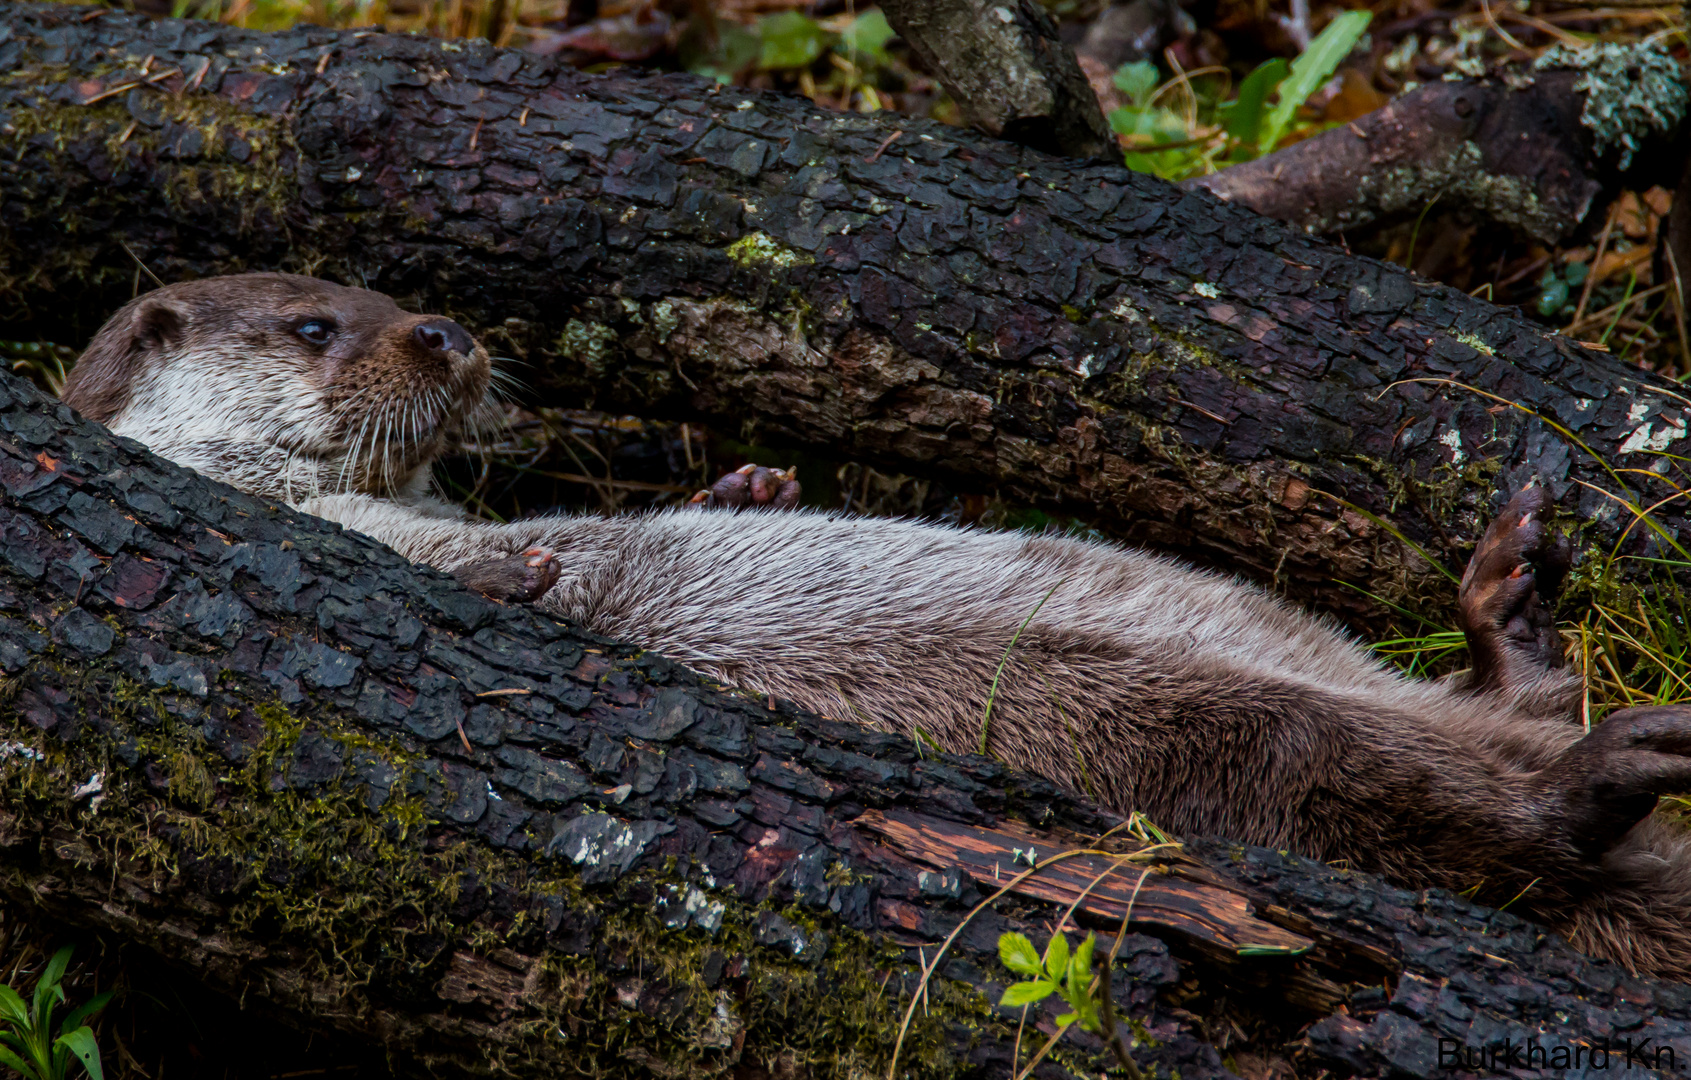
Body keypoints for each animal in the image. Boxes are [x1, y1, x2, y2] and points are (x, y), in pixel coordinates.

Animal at [62, 277, 1691, 980]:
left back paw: (1506, 600)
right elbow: (486, 565)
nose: (449, 333)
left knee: (1501, 713)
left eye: (382, 290)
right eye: (314, 325)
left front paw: (750, 481)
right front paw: (531, 568)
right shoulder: (352, 530)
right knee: (1470, 820)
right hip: (1212, 741)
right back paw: (1599, 767)